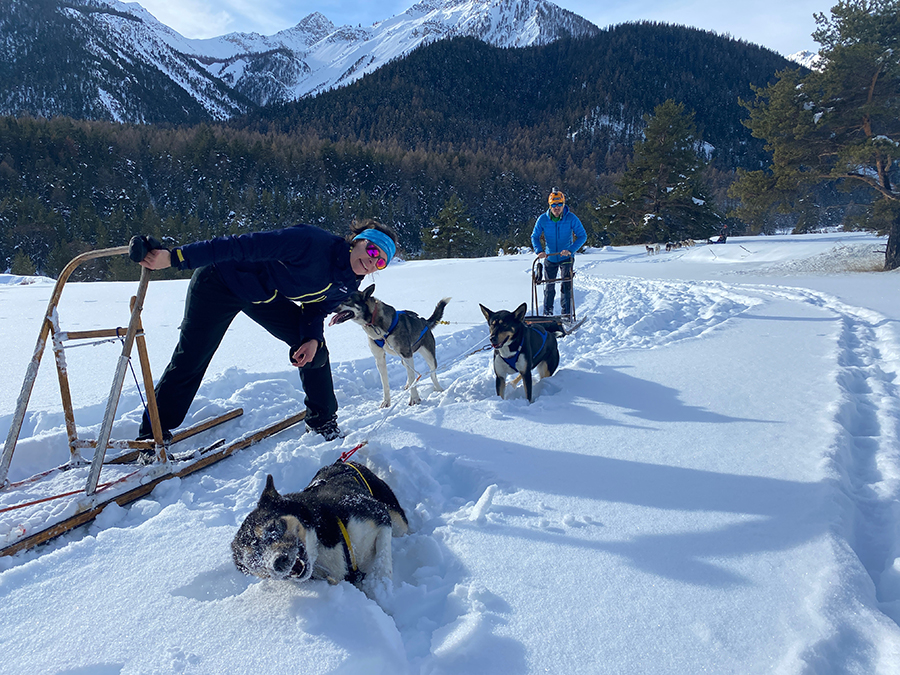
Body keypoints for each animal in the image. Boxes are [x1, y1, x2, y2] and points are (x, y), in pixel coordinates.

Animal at [232, 462, 408, 584]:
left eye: (273, 527)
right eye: (253, 559)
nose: (278, 562)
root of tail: (342, 462)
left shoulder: (379, 516)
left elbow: (382, 565)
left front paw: (383, 592)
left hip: (396, 519)